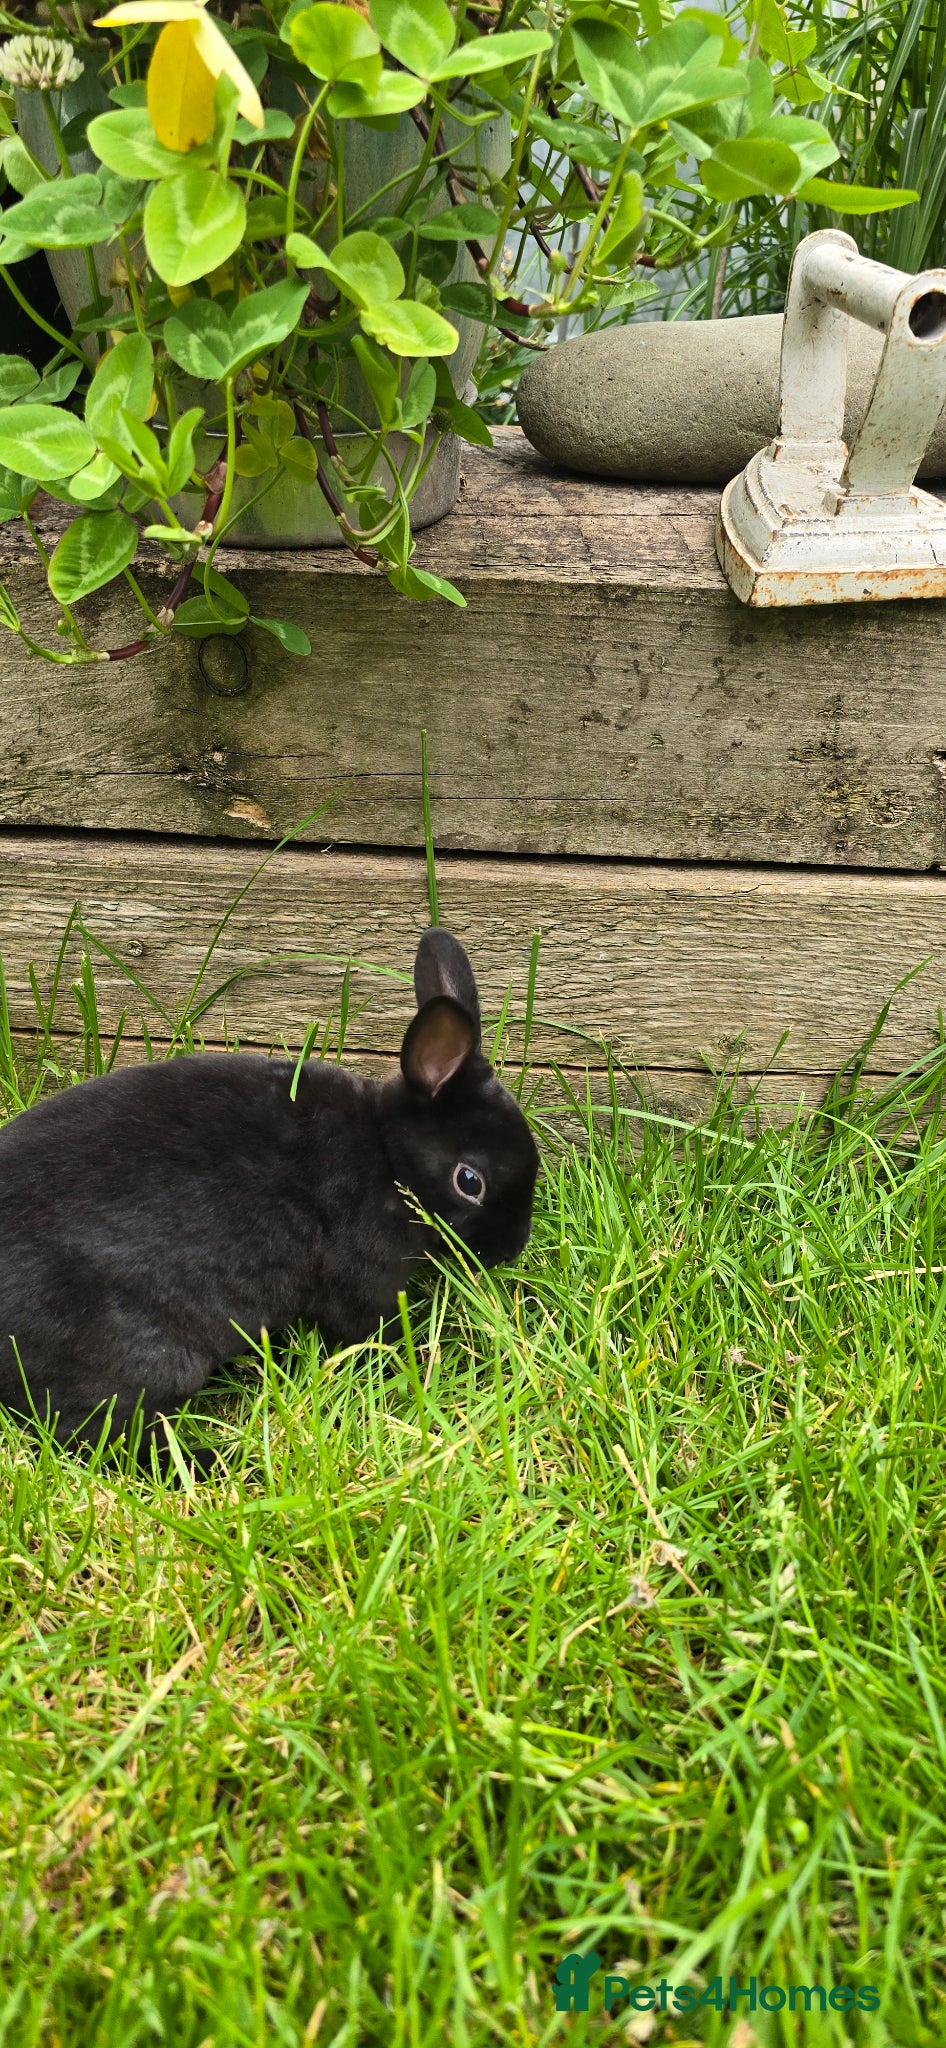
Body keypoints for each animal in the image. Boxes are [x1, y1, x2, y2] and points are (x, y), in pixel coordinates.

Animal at [0, 927, 539, 1453]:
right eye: (469, 1182)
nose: (511, 1250)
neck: (387, 1153)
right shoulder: (361, 1277)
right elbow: (368, 1329)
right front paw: (407, 1362)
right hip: (143, 1356)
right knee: (102, 1436)